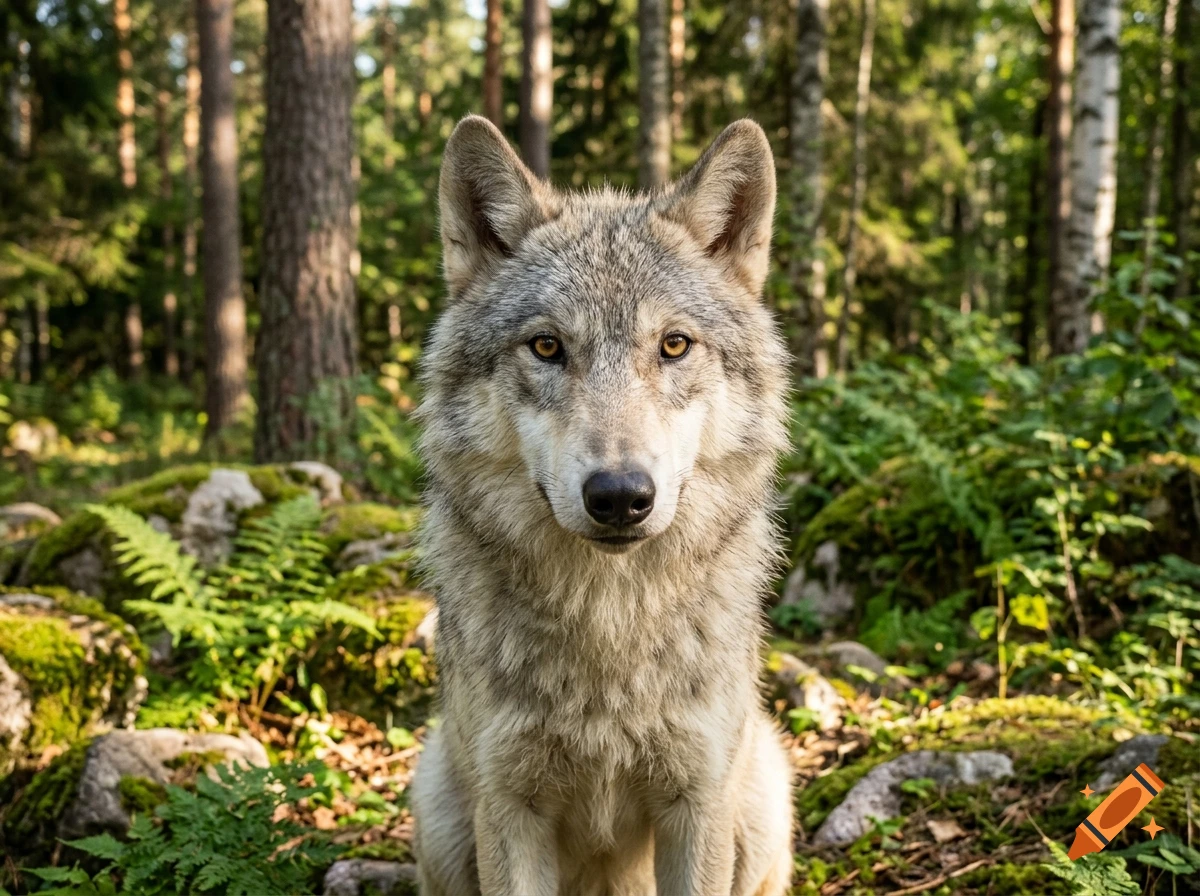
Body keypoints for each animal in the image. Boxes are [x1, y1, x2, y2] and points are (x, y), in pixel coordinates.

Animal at [408, 115, 794, 896]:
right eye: (546, 346)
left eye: (673, 345)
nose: (620, 496)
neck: (609, 618)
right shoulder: (510, 808)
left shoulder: (697, 803)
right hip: (438, 805)